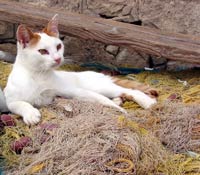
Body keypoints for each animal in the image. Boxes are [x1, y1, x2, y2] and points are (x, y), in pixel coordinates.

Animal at [3, 14, 156, 124]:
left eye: (58, 46)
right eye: (43, 51)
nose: (58, 58)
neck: (38, 75)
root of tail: (99, 74)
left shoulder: (73, 91)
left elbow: (99, 99)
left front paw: (121, 111)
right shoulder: (9, 99)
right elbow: (18, 104)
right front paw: (30, 113)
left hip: (100, 87)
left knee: (129, 91)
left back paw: (146, 102)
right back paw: (118, 100)